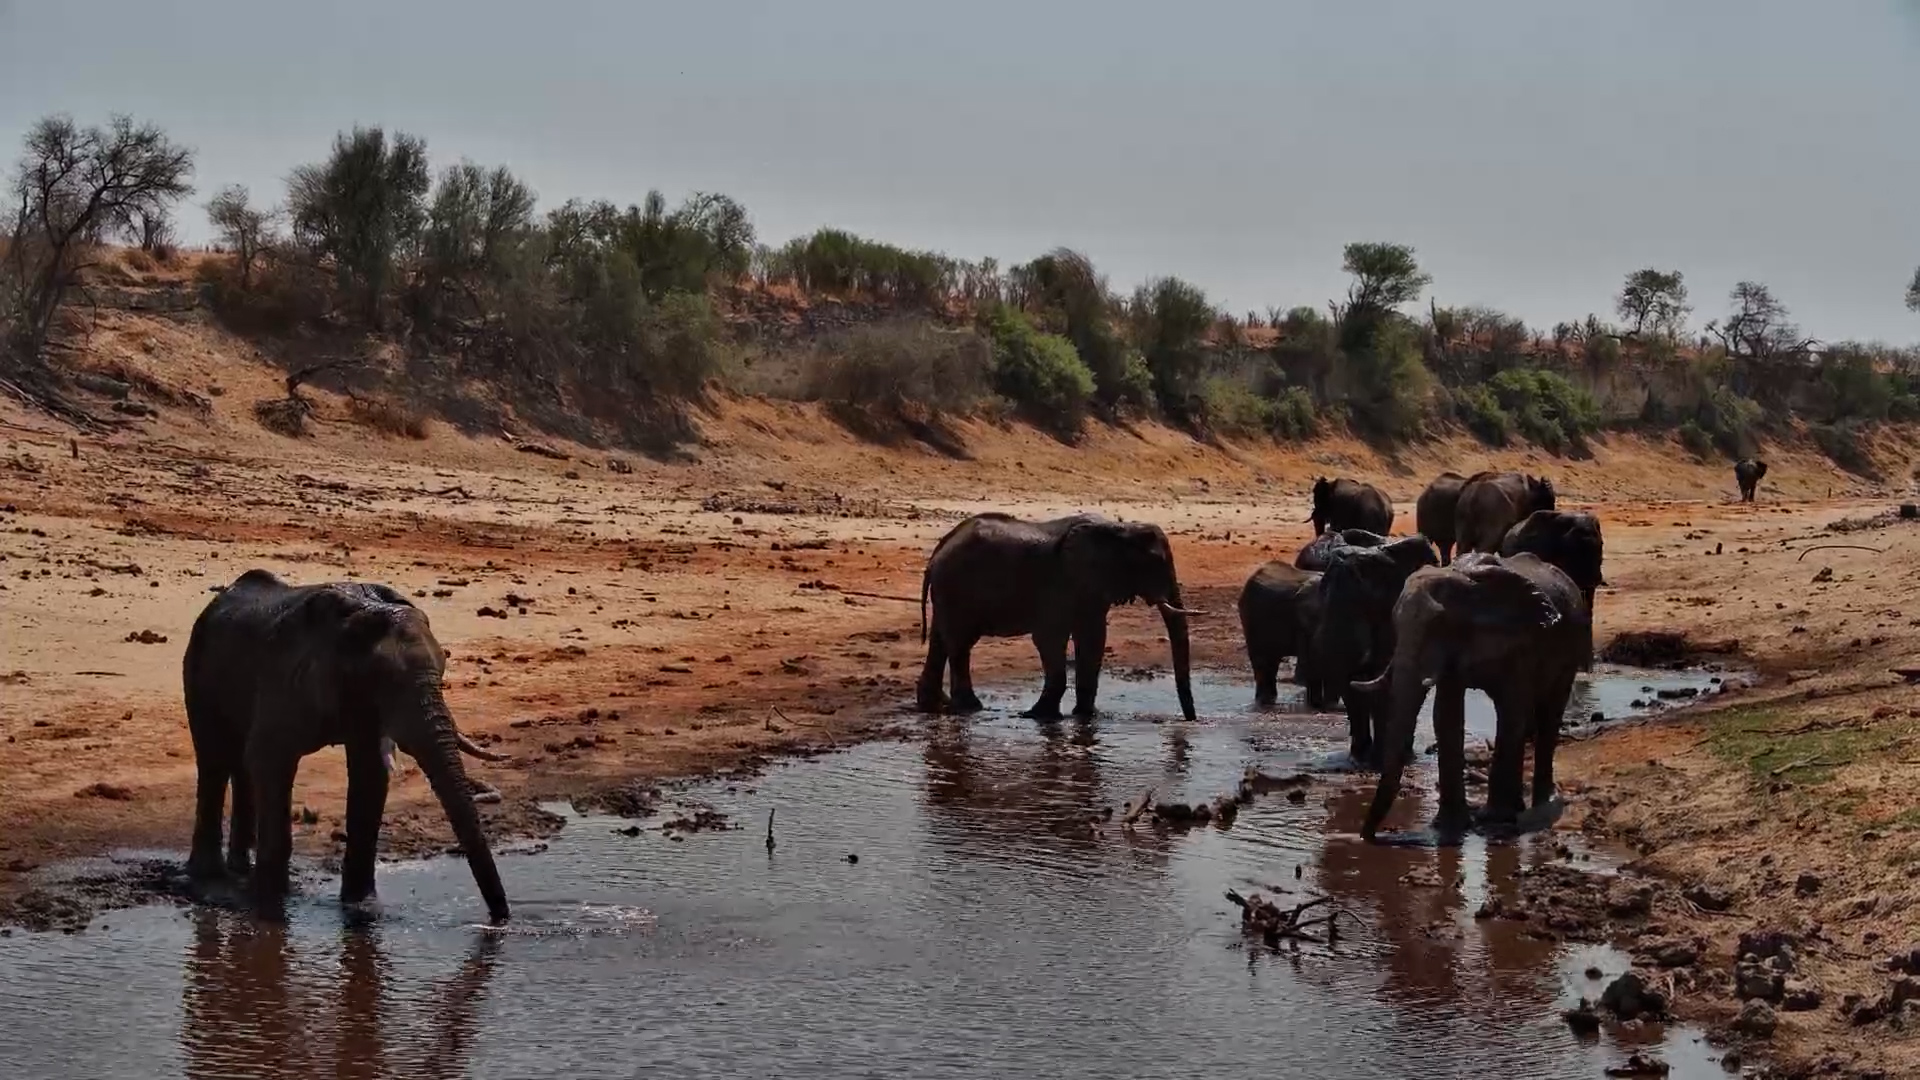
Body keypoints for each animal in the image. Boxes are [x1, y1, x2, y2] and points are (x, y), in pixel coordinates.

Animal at [183, 570, 511, 921]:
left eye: (442, 671)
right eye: (384, 680)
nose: (501, 920)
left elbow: (370, 774)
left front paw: (363, 910)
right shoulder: (285, 678)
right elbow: (269, 759)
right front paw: (272, 905)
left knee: (238, 764)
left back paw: (239, 871)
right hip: (198, 669)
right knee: (214, 759)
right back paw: (209, 878)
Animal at [917, 512, 1199, 722]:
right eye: (1156, 563)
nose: (1190, 721)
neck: (1121, 529)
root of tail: (936, 552)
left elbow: (1093, 638)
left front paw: (1087, 716)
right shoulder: (1061, 583)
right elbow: (1050, 638)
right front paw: (1039, 716)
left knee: (940, 640)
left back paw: (934, 706)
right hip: (955, 587)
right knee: (960, 643)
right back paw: (971, 708)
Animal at [1354, 552, 1592, 842]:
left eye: (1440, 625)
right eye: (1395, 623)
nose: (1367, 837)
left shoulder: (1522, 642)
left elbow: (1511, 711)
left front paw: (1494, 819)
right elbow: (1446, 715)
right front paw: (1449, 826)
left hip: (1572, 644)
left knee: (1550, 713)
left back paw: (1541, 803)